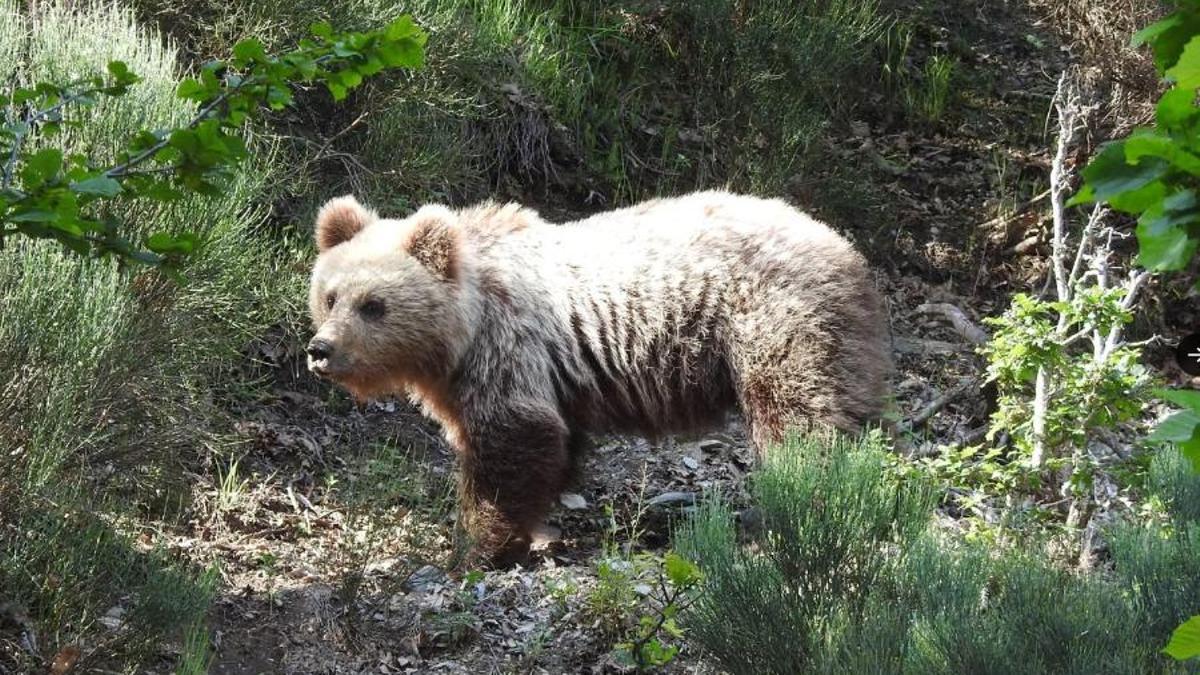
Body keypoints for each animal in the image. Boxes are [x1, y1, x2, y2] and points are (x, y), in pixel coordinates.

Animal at [307, 187, 892, 562]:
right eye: (330, 296)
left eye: (374, 305)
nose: (320, 349)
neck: (459, 335)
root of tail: (845, 248)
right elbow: (554, 444)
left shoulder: (507, 348)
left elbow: (513, 439)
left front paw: (475, 546)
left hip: (774, 322)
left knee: (799, 420)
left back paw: (797, 500)